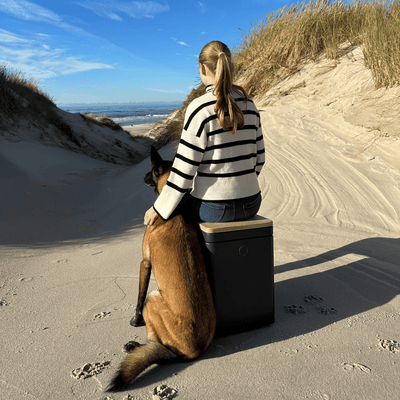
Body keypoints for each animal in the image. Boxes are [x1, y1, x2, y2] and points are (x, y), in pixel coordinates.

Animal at [106, 146, 216, 390]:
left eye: (151, 170)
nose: (142, 177)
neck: (175, 210)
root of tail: (193, 351)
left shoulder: (144, 263)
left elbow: (138, 297)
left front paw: (135, 321)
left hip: (154, 297)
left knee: (155, 343)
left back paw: (134, 346)